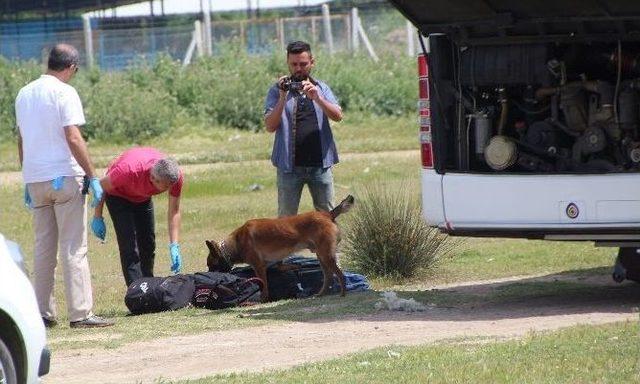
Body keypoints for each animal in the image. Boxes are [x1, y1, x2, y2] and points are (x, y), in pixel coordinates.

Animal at [206, 196, 352, 302]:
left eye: (210, 265)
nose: (209, 275)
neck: (235, 244)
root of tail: (328, 214)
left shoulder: (259, 267)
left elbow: (263, 285)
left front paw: (263, 299)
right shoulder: (270, 264)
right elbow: (281, 267)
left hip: (325, 255)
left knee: (339, 274)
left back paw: (343, 294)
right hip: (321, 256)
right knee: (329, 276)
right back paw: (321, 294)